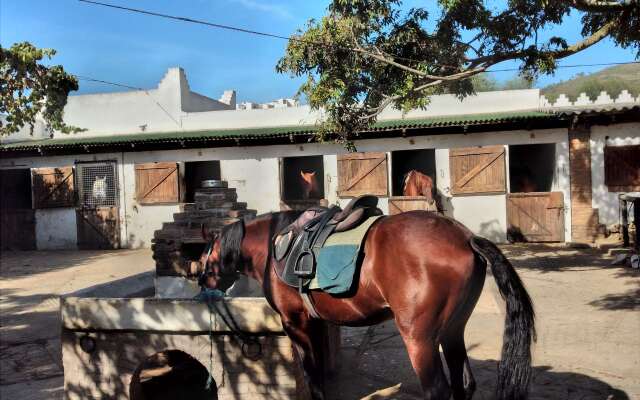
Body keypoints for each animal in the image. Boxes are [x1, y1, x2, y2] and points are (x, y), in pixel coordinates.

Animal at [199, 211, 536, 398]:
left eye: (206, 252)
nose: (201, 278)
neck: (274, 246)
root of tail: (466, 237)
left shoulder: (295, 323)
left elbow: (312, 377)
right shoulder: (315, 323)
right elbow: (318, 374)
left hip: (420, 339)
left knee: (438, 390)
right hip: (453, 331)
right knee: (463, 383)